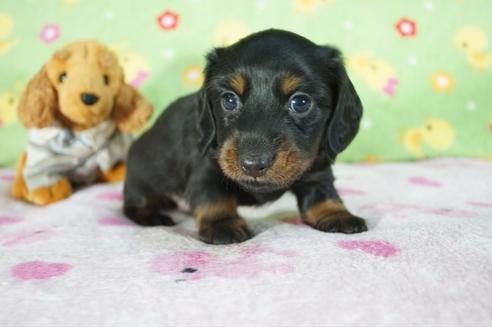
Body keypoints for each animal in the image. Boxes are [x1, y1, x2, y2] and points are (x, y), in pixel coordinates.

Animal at [125, 29, 368, 245]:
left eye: (301, 102)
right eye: (229, 99)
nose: (253, 165)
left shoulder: (316, 166)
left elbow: (323, 193)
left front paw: (336, 213)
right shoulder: (206, 169)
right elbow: (213, 195)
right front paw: (223, 224)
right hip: (141, 176)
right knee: (132, 203)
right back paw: (151, 214)